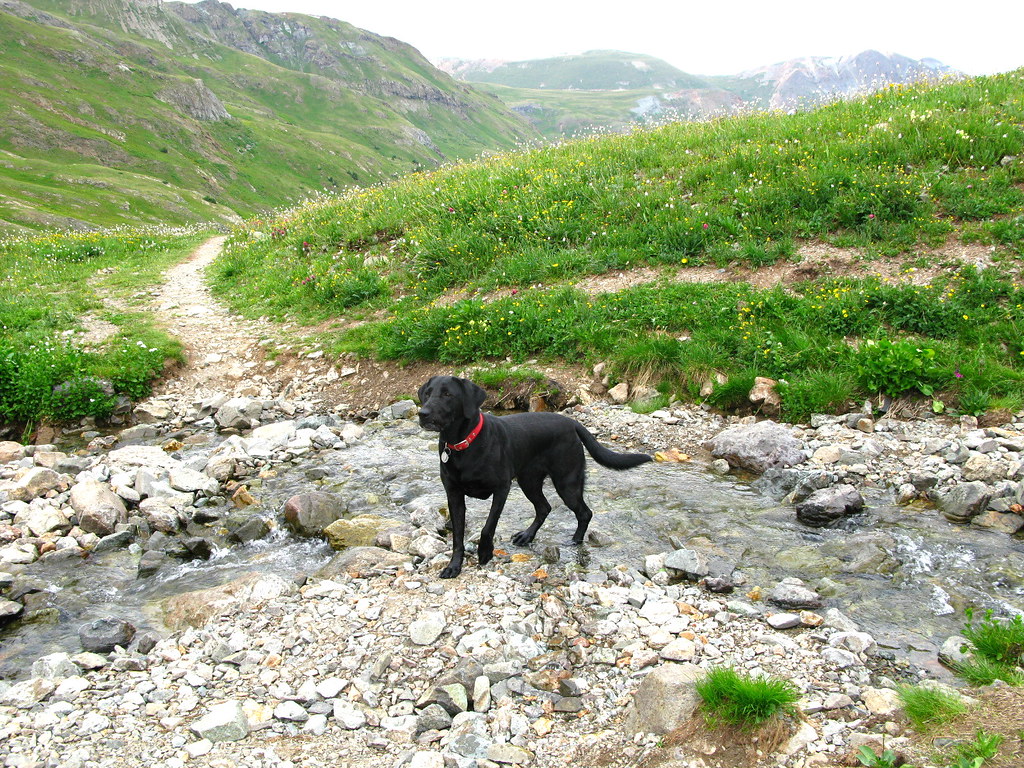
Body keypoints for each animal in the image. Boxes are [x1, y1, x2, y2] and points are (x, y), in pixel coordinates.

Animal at [413, 376, 647, 581]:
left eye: (447, 394)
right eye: (427, 393)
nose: (422, 413)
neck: (463, 444)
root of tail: (572, 423)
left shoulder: (501, 489)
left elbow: (488, 526)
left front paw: (485, 553)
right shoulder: (453, 495)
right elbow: (458, 536)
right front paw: (454, 566)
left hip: (566, 483)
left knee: (584, 512)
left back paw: (575, 541)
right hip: (529, 481)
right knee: (544, 507)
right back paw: (527, 536)